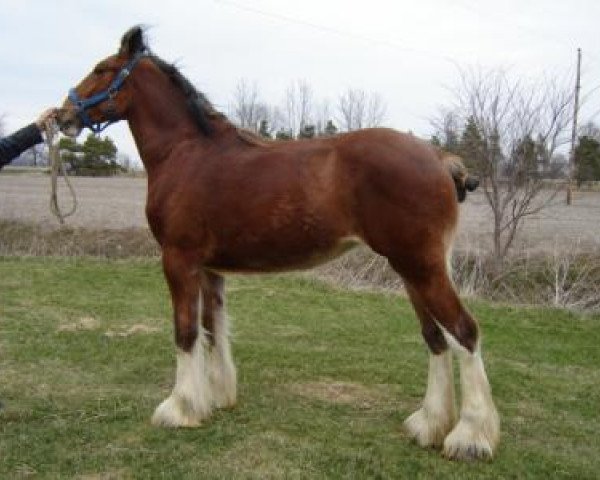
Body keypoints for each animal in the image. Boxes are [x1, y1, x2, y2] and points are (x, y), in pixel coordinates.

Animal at [56, 26, 500, 462]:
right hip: (411, 270)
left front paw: (179, 409)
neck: (187, 153)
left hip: (420, 267)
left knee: (464, 332)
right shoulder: (209, 268)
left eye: (101, 69)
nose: (62, 116)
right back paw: (429, 425)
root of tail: (439, 158)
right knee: (436, 339)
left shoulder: (178, 260)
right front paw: (215, 398)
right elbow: (212, 329)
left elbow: (185, 332)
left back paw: (469, 438)